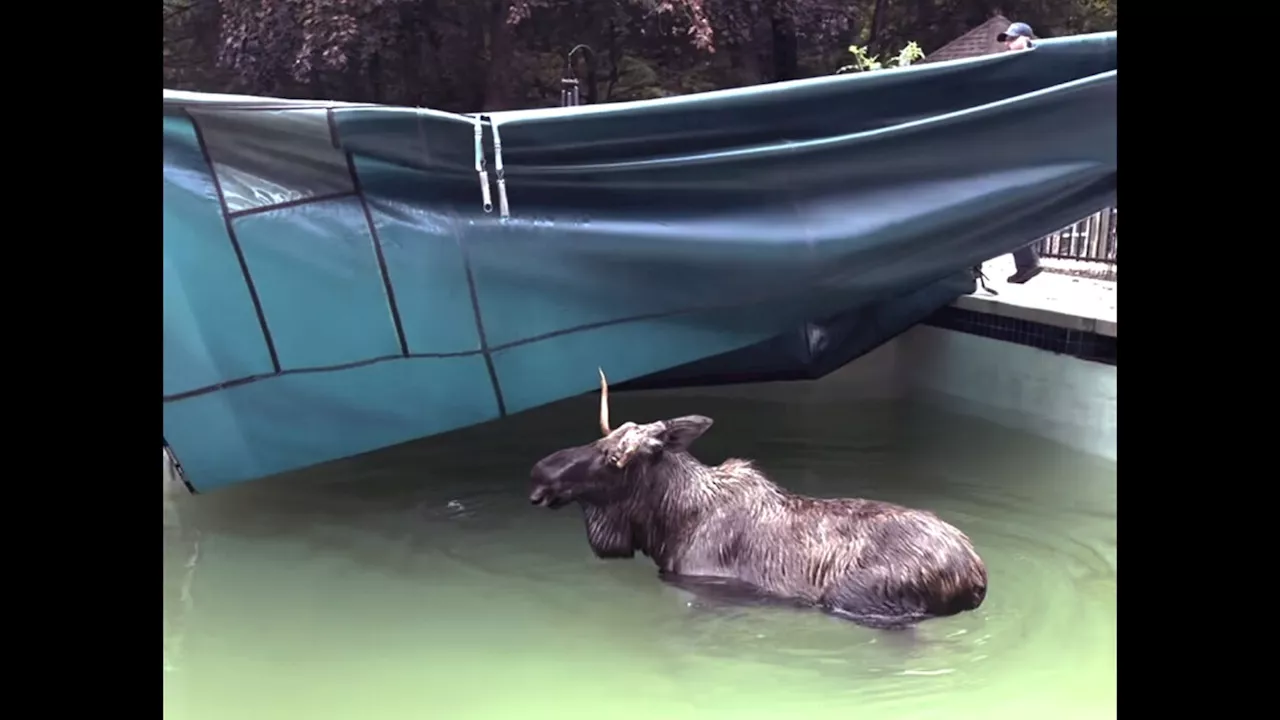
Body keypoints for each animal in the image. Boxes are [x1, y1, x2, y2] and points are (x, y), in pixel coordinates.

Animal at [529, 366, 988, 625]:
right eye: (601, 440)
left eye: (613, 459)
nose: (539, 473)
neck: (666, 524)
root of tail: (977, 576)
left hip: (863, 603)